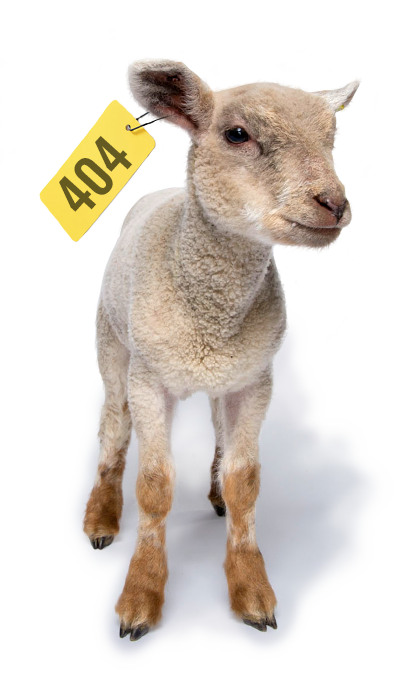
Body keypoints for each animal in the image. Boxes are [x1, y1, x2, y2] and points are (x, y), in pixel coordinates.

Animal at [83, 57, 360, 641]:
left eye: (331, 135)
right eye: (237, 134)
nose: (334, 203)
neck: (209, 312)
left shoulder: (253, 381)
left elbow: (245, 483)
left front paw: (250, 588)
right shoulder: (149, 380)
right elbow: (155, 486)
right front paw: (140, 595)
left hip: (222, 377)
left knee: (214, 432)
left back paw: (211, 491)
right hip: (112, 341)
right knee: (114, 427)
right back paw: (100, 517)